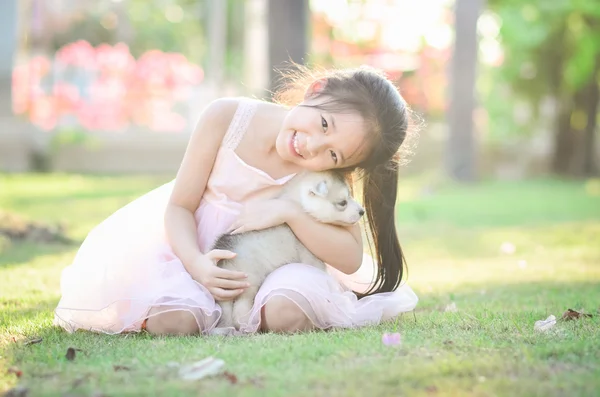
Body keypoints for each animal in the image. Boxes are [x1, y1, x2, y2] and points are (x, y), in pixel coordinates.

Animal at [213, 172, 364, 330]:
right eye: (342, 202)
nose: (362, 212)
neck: (298, 202)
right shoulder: (309, 254)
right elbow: (321, 272)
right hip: (249, 280)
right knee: (239, 310)